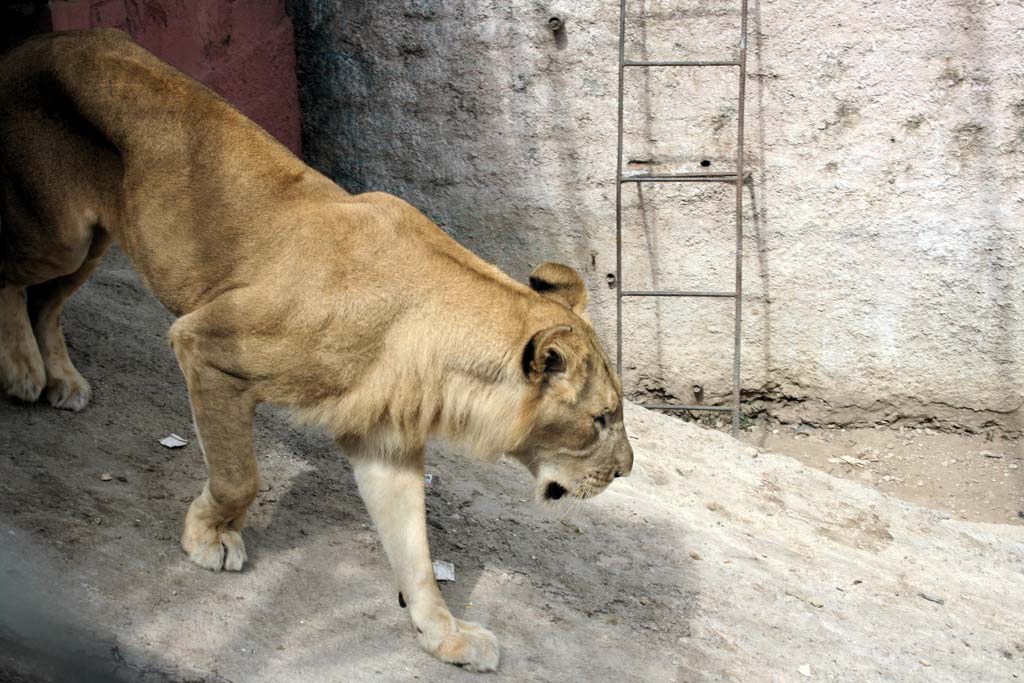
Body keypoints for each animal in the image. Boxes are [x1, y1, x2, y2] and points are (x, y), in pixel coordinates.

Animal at [0, 29, 633, 672]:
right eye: (601, 419)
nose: (625, 470)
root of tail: (37, 41)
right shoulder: (206, 344)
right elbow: (239, 476)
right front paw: (210, 538)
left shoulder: (385, 441)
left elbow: (416, 552)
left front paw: (444, 633)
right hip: (62, 235)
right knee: (12, 276)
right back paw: (22, 370)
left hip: (94, 239)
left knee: (47, 302)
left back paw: (61, 379)